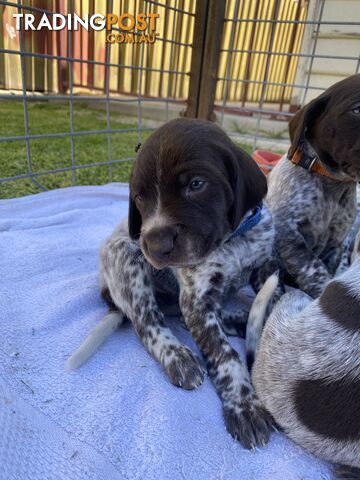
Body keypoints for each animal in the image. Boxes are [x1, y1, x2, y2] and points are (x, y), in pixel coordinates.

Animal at [67, 118, 276, 448]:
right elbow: (224, 353)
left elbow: (275, 303)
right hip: (127, 260)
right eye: (139, 197)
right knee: (147, 321)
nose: (155, 245)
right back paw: (177, 355)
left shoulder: (263, 266)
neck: (235, 239)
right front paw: (244, 405)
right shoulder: (196, 298)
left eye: (196, 184)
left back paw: (239, 320)